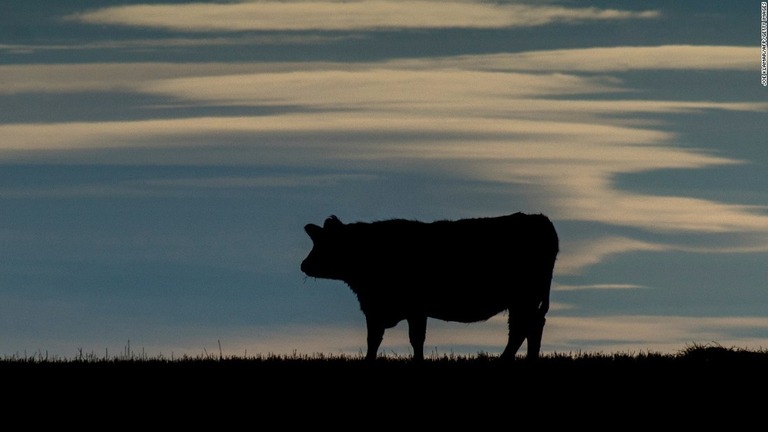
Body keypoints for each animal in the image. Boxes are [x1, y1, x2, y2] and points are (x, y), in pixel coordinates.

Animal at [300, 213, 560, 362]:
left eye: (321, 243)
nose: (304, 265)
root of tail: (541, 219)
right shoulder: (379, 309)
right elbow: (377, 339)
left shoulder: (408, 309)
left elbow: (412, 338)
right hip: (525, 300)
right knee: (531, 326)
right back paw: (528, 360)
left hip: (524, 298)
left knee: (522, 328)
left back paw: (505, 361)